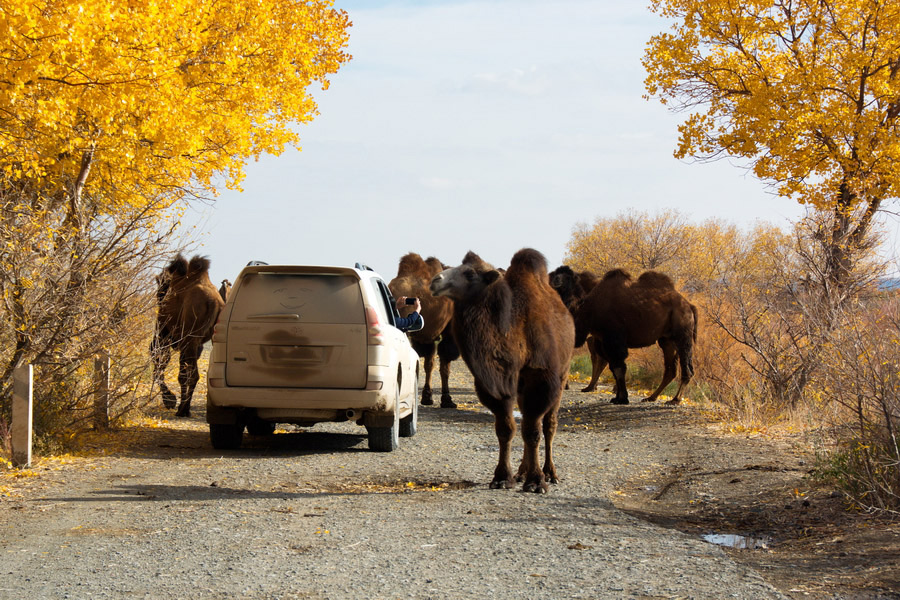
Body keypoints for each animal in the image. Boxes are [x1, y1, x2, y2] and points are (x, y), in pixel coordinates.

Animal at [149, 253, 223, 418]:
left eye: (161, 289)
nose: (159, 296)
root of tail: (214, 302)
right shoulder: (194, 343)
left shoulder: (163, 332)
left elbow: (158, 358)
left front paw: (170, 400)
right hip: (199, 340)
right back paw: (185, 408)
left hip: (187, 337)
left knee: (191, 374)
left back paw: (182, 409)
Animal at [386, 251, 460, 410]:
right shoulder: (447, 330)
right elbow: (444, 365)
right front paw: (447, 400)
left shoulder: (428, 336)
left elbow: (429, 364)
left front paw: (427, 397)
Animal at [430, 248, 576, 492]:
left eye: (470, 273)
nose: (435, 280)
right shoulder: (499, 382)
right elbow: (506, 429)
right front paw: (502, 477)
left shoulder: (541, 378)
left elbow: (533, 431)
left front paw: (536, 482)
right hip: (522, 387)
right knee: (527, 419)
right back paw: (522, 472)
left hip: (562, 374)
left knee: (549, 424)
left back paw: (550, 473)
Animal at [572, 268, 700, 406]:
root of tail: (690, 306)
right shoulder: (604, 341)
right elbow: (614, 367)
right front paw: (617, 398)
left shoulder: (614, 340)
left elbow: (618, 368)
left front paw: (622, 399)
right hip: (667, 340)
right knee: (670, 370)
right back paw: (651, 397)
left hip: (682, 335)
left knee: (687, 369)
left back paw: (675, 399)